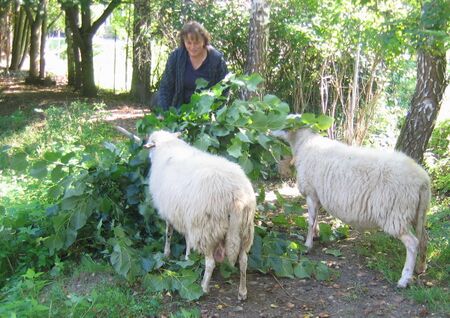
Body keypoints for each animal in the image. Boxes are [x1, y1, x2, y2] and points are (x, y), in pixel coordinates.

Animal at [145, 130, 255, 300]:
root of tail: (236, 195)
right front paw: (187, 258)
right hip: (244, 230)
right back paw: (242, 292)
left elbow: (169, 233)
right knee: (243, 261)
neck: (168, 146)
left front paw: (167, 254)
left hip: (207, 229)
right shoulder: (186, 217)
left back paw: (203, 287)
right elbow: (187, 239)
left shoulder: (173, 214)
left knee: (210, 263)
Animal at [272, 127, 430, 288]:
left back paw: (404, 278)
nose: (270, 131)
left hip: (395, 213)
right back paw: (421, 268)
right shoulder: (317, 196)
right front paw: (315, 235)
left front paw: (307, 245)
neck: (304, 143)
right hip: (415, 212)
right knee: (424, 238)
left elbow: (310, 221)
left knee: (413, 243)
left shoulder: (311, 193)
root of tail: (423, 180)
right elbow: (315, 219)